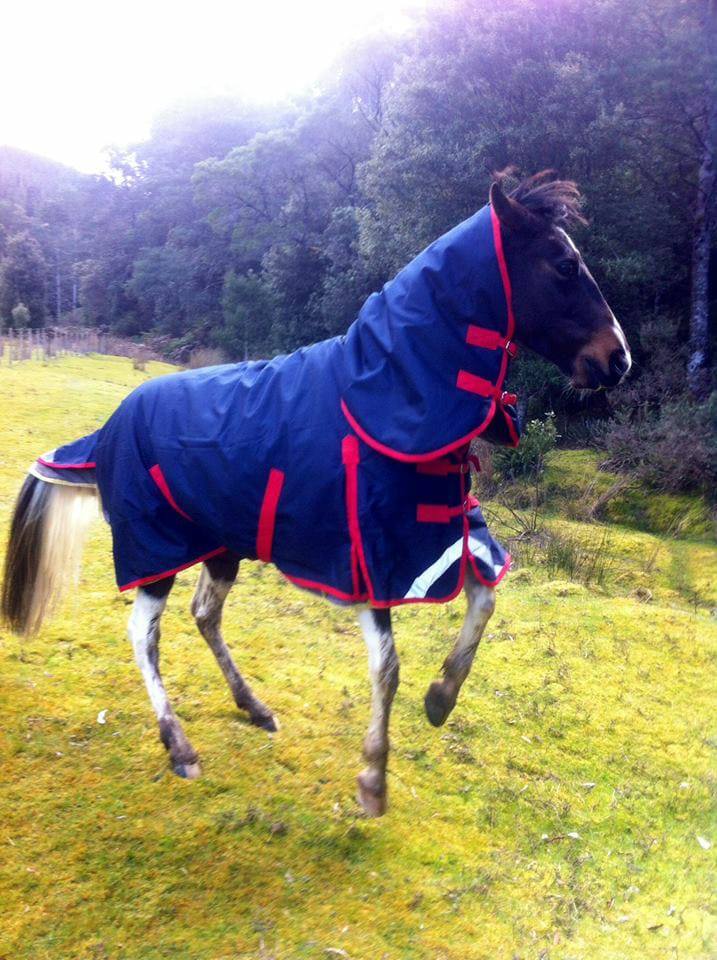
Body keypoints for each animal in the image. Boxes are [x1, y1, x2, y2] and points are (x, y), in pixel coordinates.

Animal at [1, 173, 631, 817]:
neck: (385, 399)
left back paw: (254, 708)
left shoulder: (440, 537)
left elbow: (484, 601)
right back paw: (179, 746)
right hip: (156, 549)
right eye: (565, 264)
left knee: (205, 614)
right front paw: (373, 779)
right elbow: (388, 667)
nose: (619, 359)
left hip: (222, 543)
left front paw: (440, 698)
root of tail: (109, 428)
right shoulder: (371, 556)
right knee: (143, 636)